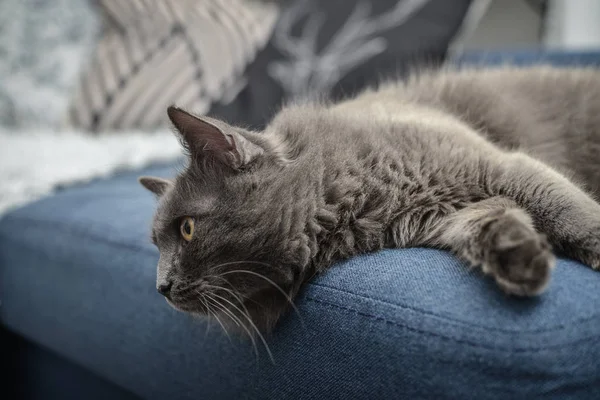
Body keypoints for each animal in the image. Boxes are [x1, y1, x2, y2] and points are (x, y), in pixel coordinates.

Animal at [138, 65, 600, 334]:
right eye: (157, 245)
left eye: (187, 229)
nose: (160, 287)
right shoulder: (446, 212)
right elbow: (483, 224)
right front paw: (519, 255)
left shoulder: (500, 166)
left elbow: (570, 211)